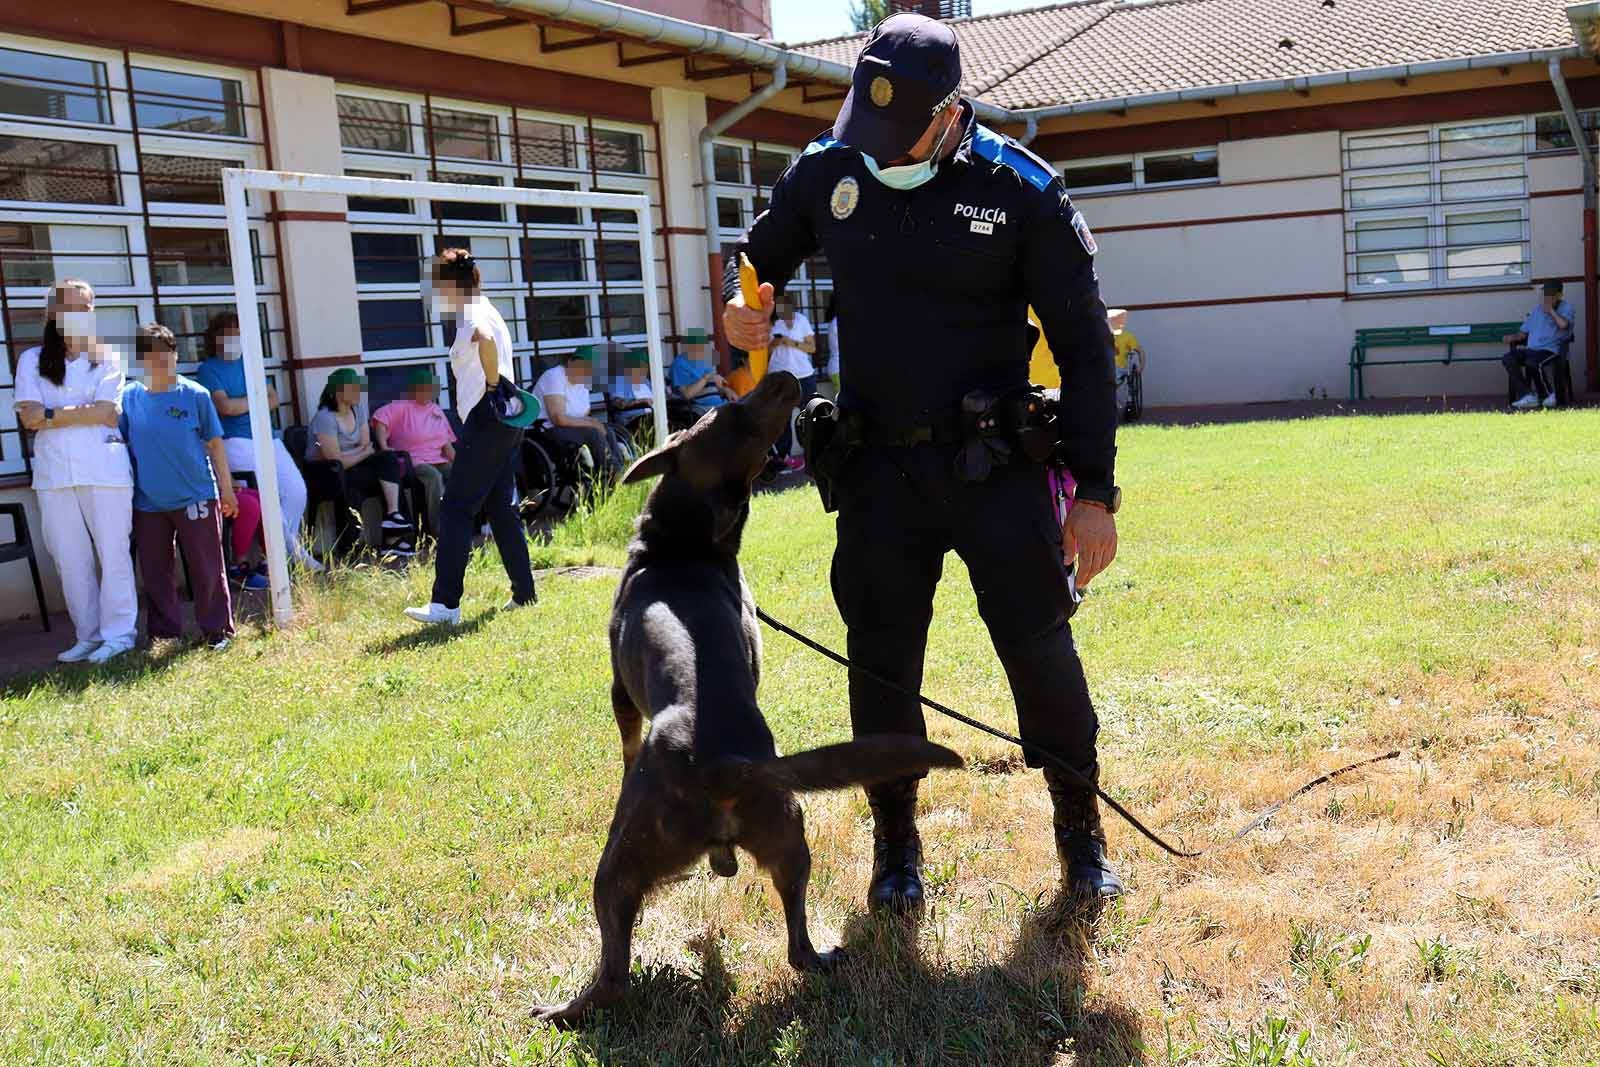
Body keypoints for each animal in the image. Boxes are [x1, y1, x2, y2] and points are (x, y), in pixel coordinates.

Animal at [534, 374, 960, 1023]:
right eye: (735, 414)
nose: (787, 380)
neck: (684, 548)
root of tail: (724, 765)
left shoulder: (618, 689)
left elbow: (625, 741)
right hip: (789, 838)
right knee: (798, 946)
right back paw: (815, 946)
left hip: (618, 865)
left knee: (614, 973)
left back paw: (562, 1009)